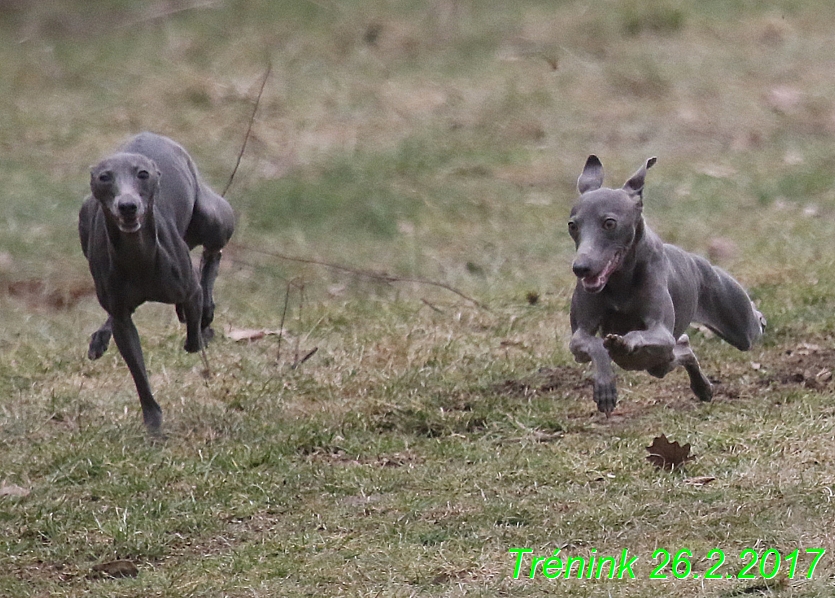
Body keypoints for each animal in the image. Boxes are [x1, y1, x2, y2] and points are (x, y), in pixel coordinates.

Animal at [79, 131, 235, 434]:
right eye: (104, 177)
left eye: (142, 174)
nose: (128, 206)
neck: (137, 256)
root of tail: (150, 134)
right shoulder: (122, 318)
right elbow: (139, 374)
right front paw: (154, 425)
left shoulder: (189, 290)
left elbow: (194, 337)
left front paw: (202, 324)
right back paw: (100, 339)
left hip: (213, 217)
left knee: (213, 252)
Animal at [568, 156, 764, 418]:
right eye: (573, 225)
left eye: (609, 223)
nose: (581, 268)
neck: (620, 280)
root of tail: (697, 260)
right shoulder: (578, 338)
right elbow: (594, 344)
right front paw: (605, 389)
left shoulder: (660, 332)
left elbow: (638, 334)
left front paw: (623, 342)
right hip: (658, 362)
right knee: (683, 347)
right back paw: (702, 387)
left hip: (740, 328)